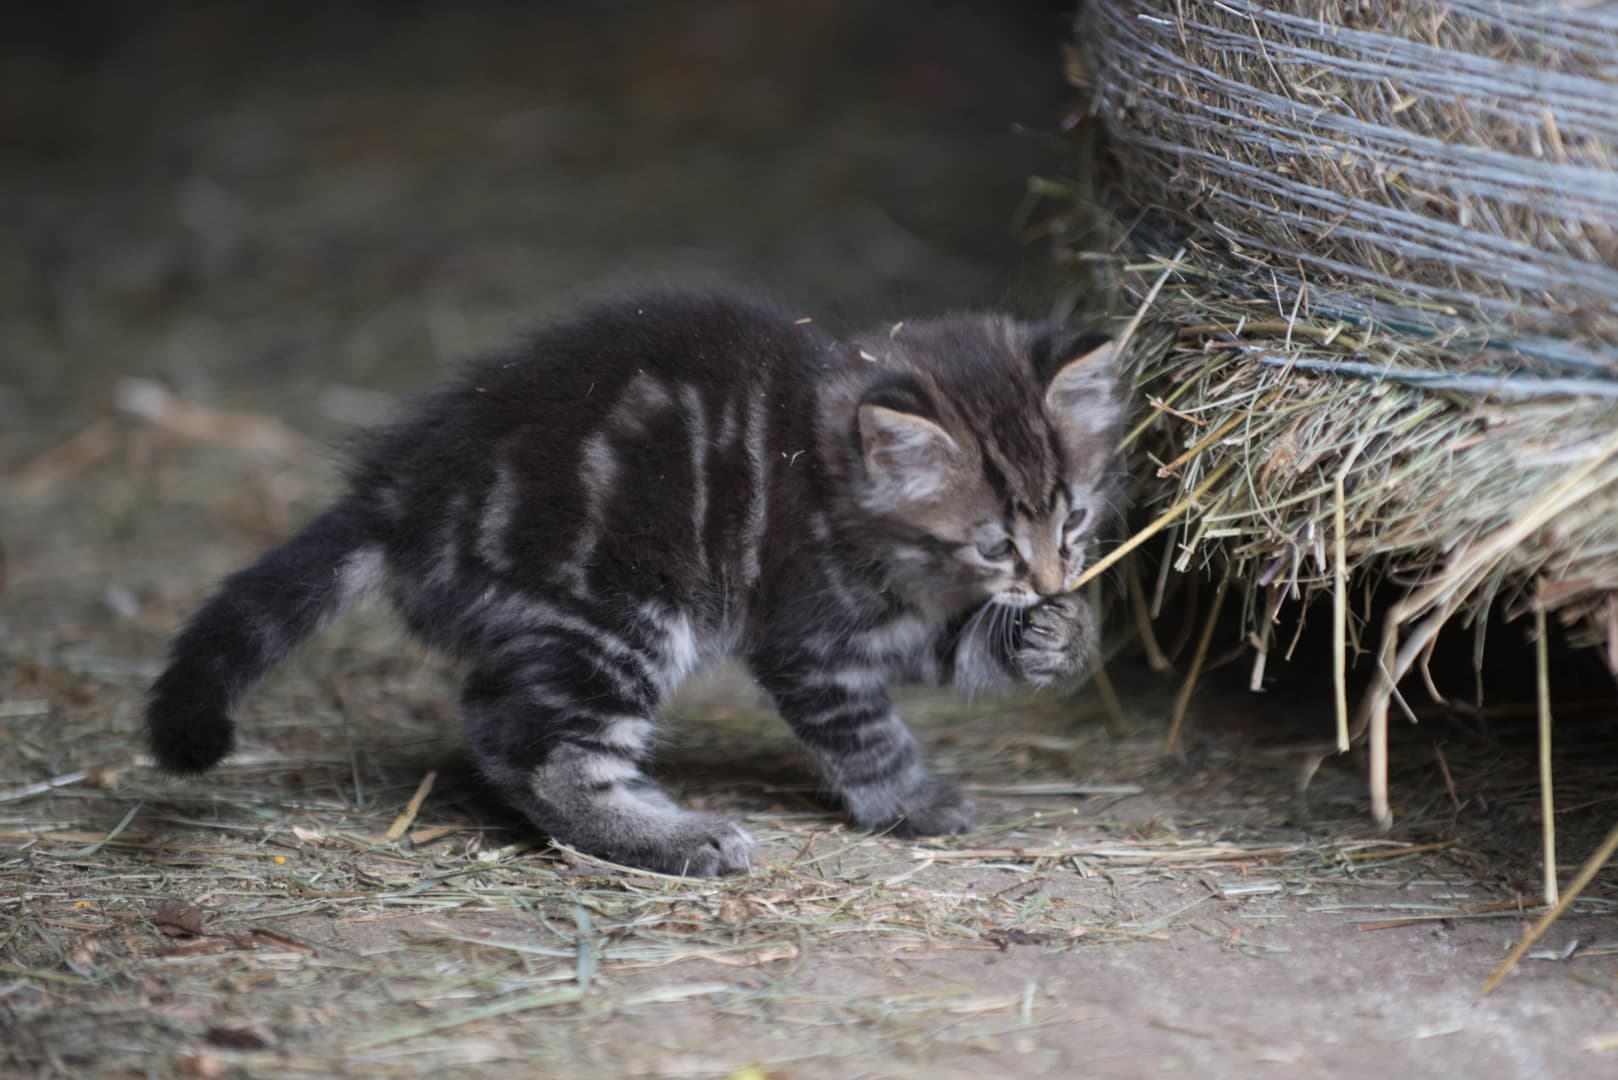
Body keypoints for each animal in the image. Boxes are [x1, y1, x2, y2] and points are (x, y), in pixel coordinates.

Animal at [146, 289, 1124, 875]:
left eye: (1074, 519)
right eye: (995, 545)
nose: (1052, 578)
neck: (832, 472)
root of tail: (400, 493)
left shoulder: (896, 619)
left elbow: (955, 648)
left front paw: (1059, 638)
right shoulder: (810, 635)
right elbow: (863, 734)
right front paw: (909, 800)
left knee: (496, 716)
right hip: (617, 614)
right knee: (542, 747)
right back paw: (675, 836)